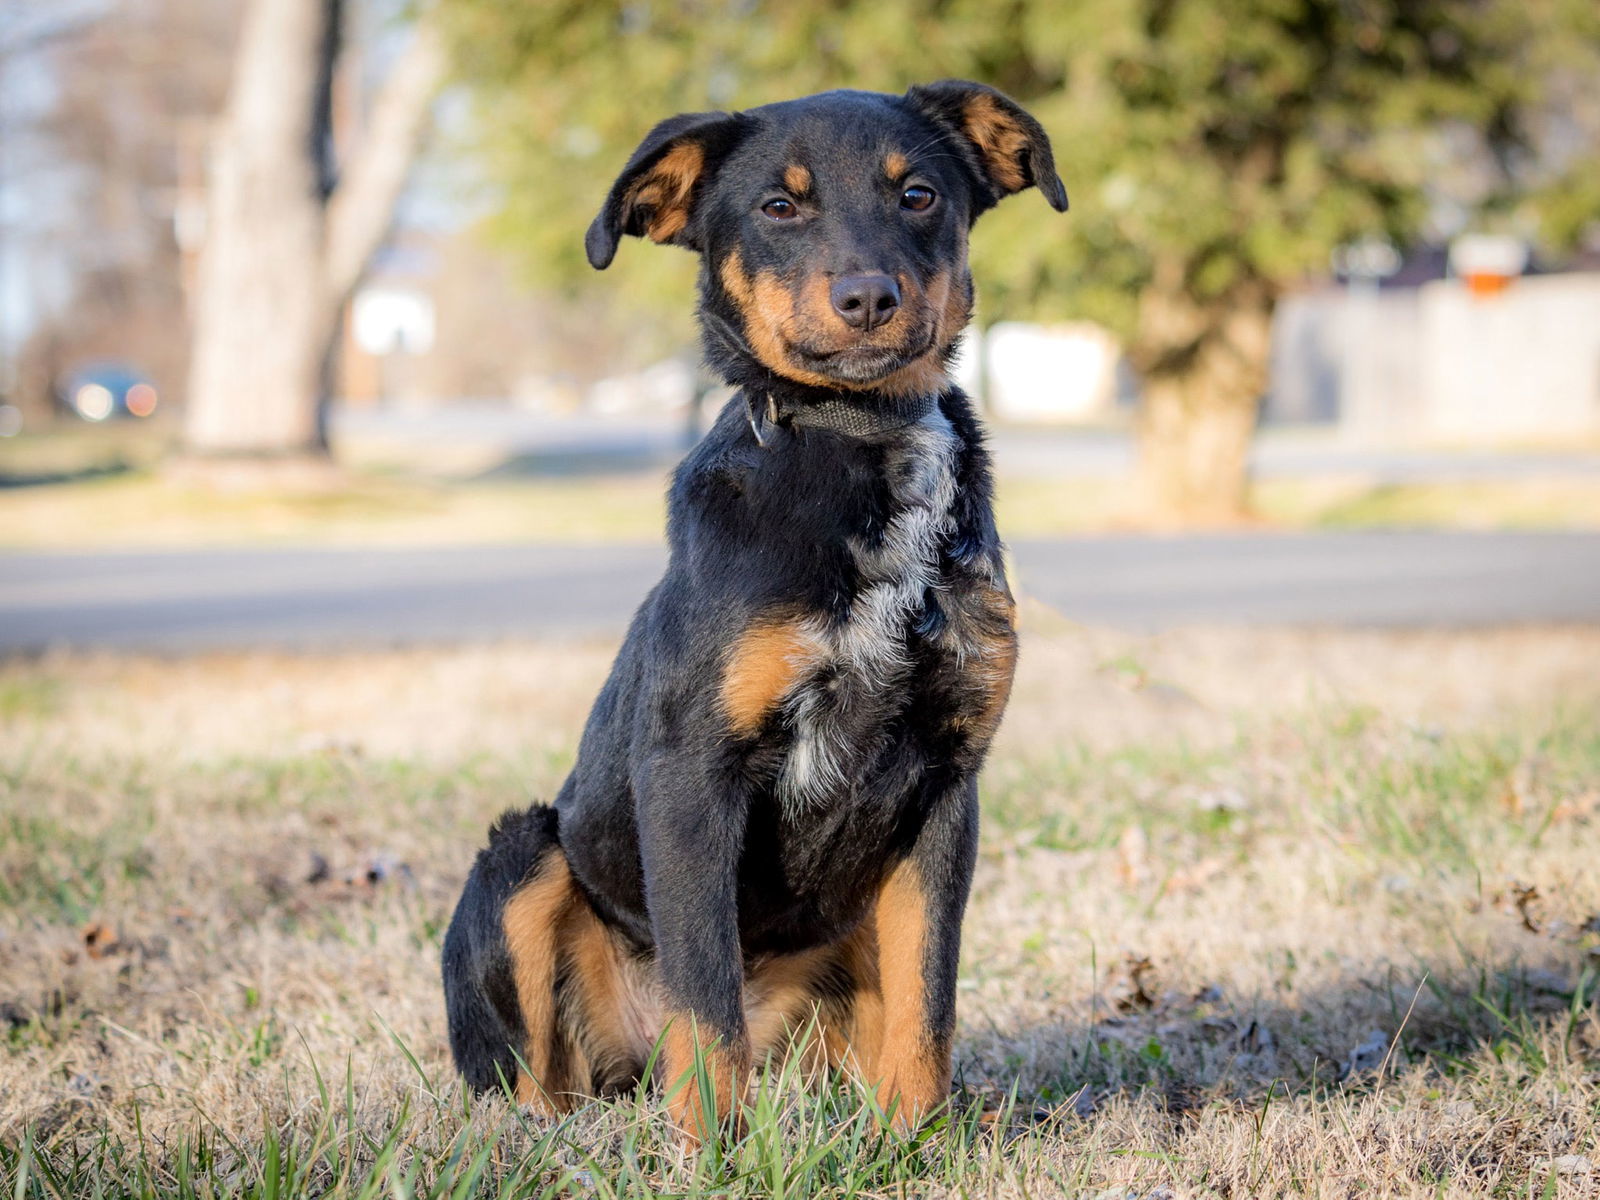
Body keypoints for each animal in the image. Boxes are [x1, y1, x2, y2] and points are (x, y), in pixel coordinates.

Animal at [441, 80, 1062, 1139]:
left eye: (920, 195)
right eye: (779, 207)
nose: (868, 300)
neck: (863, 443)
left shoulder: (947, 780)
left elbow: (929, 998)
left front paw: (915, 1142)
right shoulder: (692, 773)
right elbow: (705, 998)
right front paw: (717, 1152)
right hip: (521, 859)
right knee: (535, 1084)